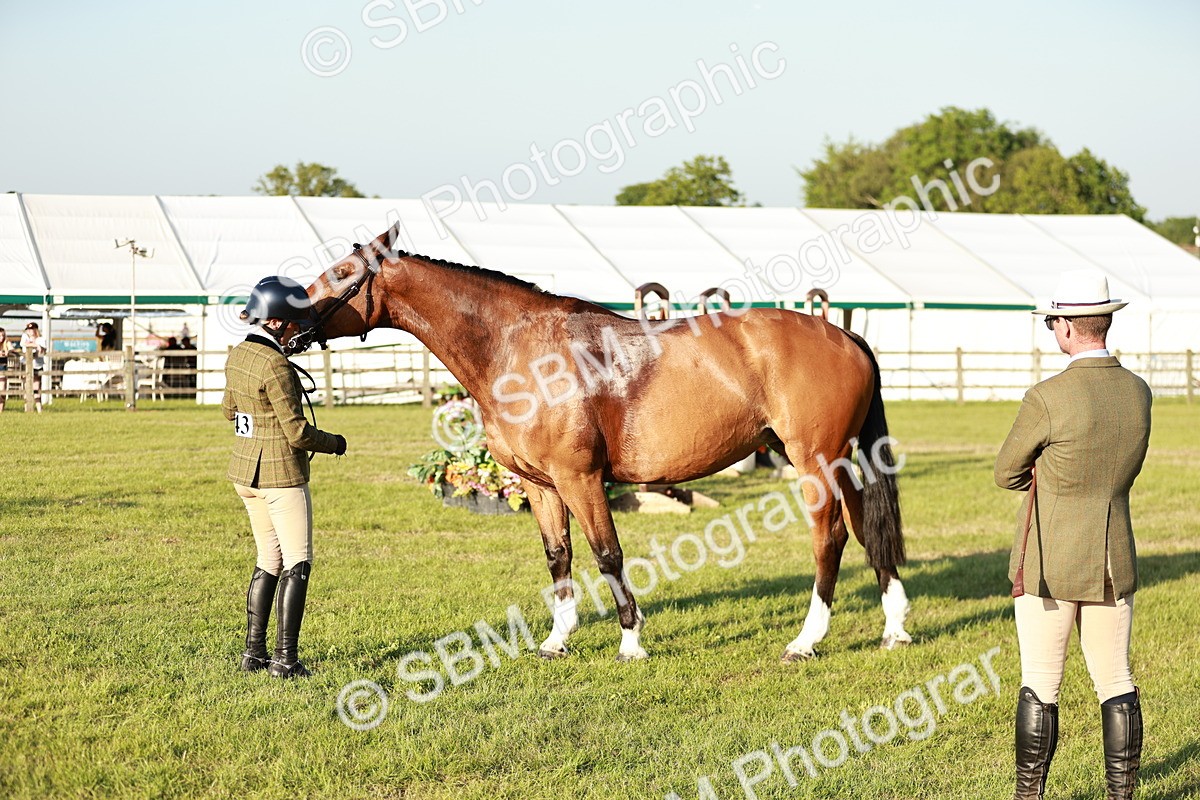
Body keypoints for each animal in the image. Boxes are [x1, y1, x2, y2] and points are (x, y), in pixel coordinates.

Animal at [287, 223, 912, 663]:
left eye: (343, 270)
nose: (275, 318)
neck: (519, 348)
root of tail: (845, 335)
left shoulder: (581, 478)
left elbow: (607, 553)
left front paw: (631, 641)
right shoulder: (540, 484)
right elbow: (558, 556)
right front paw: (556, 641)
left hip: (814, 461)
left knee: (831, 537)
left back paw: (807, 639)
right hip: (829, 459)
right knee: (866, 529)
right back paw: (895, 628)